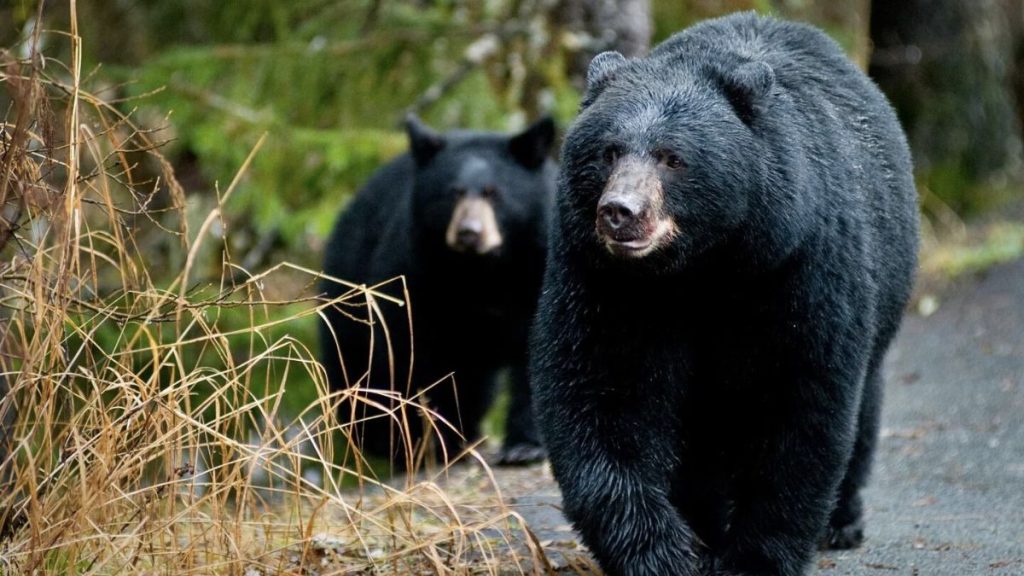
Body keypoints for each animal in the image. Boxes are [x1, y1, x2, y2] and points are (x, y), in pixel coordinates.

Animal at [323, 113, 557, 467]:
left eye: (493, 193)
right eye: (454, 193)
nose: (469, 233)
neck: (484, 271)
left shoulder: (539, 269)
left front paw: (524, 447)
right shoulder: (416, 274)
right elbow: (412, 352)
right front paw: (432, 442)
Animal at [536, 11, 921, 573]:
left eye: (673, 158)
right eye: (609, 151)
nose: (620, 212)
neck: (702, 269)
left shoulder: (800, 264)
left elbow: (800, 404)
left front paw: (752, 556)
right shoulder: (605, 281)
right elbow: (602, 393)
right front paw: (661, 551)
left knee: (863, 401)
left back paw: (841, 520)